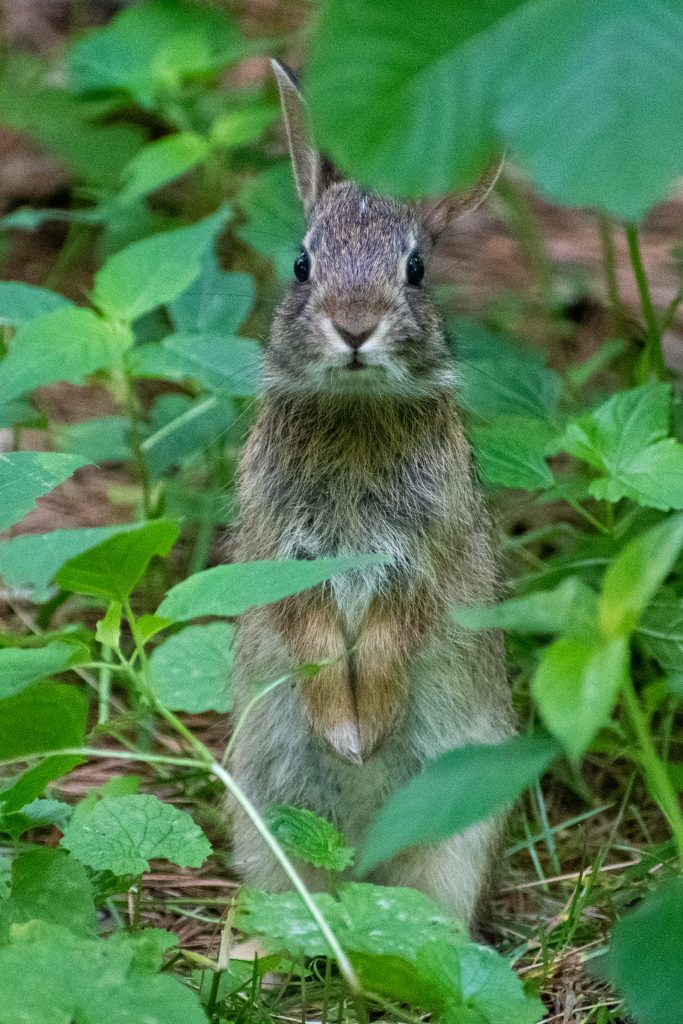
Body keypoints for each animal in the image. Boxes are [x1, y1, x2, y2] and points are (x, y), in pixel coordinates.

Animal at [227, 60, 516, 929]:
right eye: (300, 263)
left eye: (415, 270)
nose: (354, 328)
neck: (355, 413)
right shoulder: (284, 554)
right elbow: (312, 634)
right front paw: (347, 737)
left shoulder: (421, 556)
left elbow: (392, 634)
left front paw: (370, 731)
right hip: (261, 816)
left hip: (459, 838)